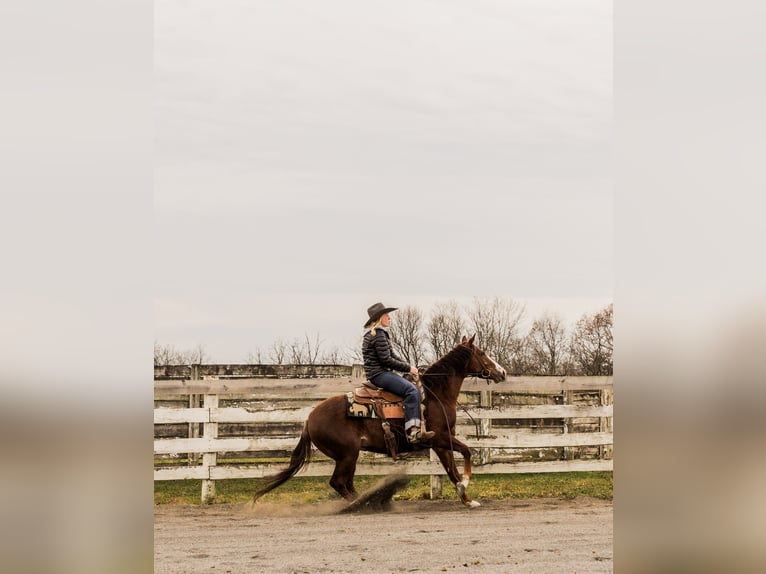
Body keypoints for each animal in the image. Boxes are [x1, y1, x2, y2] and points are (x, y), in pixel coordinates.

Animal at [252, 338, 508, 508]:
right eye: (482, 353)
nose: (502, 372)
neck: (436, 394)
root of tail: (309, 419)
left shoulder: (439, 443)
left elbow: (451, 470)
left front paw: (467, 498)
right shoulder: (441, 438)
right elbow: (467, 452)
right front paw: (466, 482)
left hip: (349, 456)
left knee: (345, 483)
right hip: (347, 454)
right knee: (338, 482)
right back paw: (361, 504)